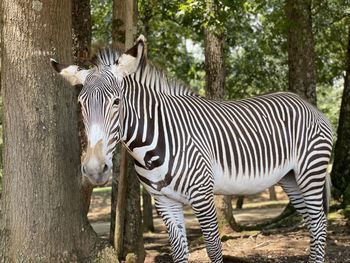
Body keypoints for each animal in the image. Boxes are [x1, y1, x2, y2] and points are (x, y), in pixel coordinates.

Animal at [51, 35, 334, 263]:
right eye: (81, 104)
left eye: (117, 102)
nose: (94, 169)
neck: (149, 147)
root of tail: (306, 104)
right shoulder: (164, 201)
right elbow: (178, 252)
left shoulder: (203, 195)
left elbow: (214, 250)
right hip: (290, 178)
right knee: (312, 222)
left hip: (310, 172)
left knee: (319, 223)